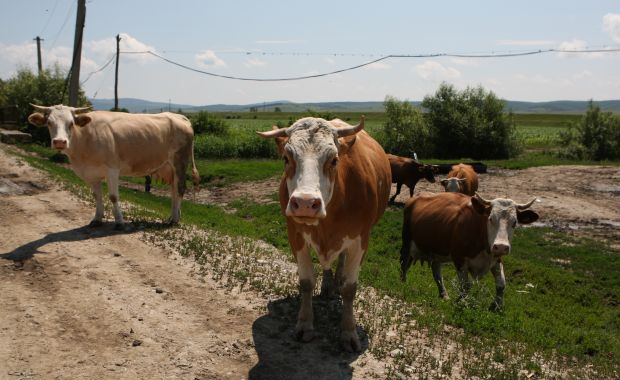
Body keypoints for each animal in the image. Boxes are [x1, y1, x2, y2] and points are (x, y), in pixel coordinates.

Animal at [28, 104, 199, 229]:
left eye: (71, 124)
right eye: (49, 123)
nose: (59, 142)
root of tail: (179, 116)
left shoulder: (112, 169)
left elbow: (113, 196)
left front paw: (119, 222)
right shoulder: (91, 173)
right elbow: (96, 196)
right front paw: (97, 219)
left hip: (180, 162)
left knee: (180, 188)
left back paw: (174, 220)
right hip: (169, 167)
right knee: (174, 190)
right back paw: (173, 216)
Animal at [260, 117, 390, 352]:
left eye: (334, 160)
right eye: (286, 158)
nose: (305, 203)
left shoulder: (360, 240)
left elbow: (349, 288)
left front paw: (348, 331)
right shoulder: (295, 234)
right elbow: (306, 282)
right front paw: (305, 324)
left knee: (341, 259)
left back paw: (337, 279)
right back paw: (329, 284)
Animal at [402, 191, 536, 310]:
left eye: (514, 222)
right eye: (491, 218)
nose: (501, 246)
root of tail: (415, 197)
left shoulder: (496, 258)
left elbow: (501, 283)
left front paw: (497, 306)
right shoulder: (459, 258)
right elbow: (465, 285)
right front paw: (462, 302)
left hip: (436, 252)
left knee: (437, 271)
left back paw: (444, 295)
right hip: (406, 241)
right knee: (404, 264)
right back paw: (402, 284)